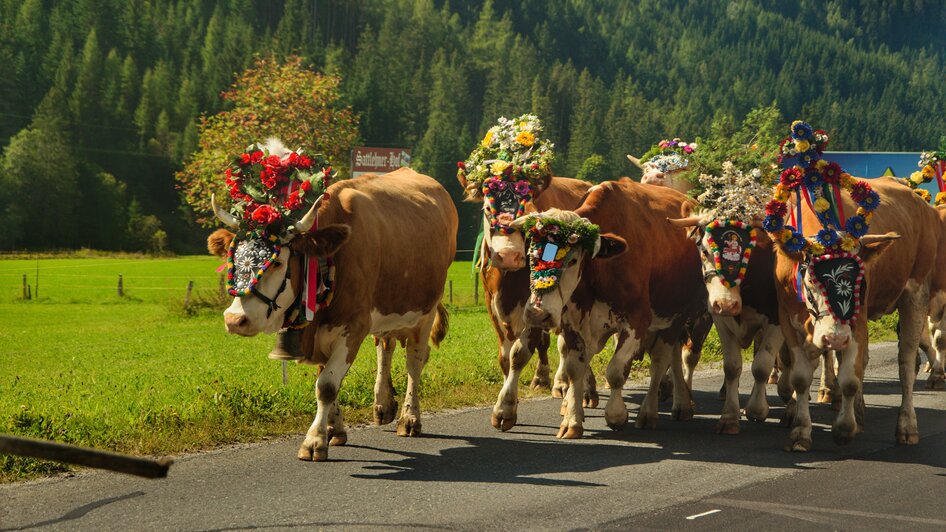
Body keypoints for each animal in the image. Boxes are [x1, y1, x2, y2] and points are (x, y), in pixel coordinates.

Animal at [207, 163, 458, 462]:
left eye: (277, 262)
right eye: (232, 258)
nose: (235, 320)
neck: (332, 260)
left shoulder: (354, 326)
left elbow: (326, 385)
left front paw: (314, 440)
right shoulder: (318, 329)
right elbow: (327, 377)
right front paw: (333, 429)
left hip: (426, 310)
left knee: (415, 361)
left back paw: (409, 419)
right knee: (385, 347)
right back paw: (383, 404)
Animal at [456, 172, 592, 430]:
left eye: (527, 209)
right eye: (487, 208)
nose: (509, 256)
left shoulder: (537, 304)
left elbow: (520, 353)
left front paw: (505, 409)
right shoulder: (492, 305)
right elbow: (505, 358)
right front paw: (511, 397)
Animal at [508, 179, 708, 436]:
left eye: (573, 260)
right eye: (532, 256)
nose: (537, 314)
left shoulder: (637, 320)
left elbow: (615, 371)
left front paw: (616, 415)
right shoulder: (572, 322)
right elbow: (575, 370)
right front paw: (572, 420)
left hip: (677, 316)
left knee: (661, 361)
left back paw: (653, 411)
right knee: (671, 357)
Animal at [772, 177, 940, 450]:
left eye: (858, 282)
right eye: (810, 282)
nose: (835, 337)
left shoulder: (857, 320)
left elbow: (850, 378)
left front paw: (844, 428)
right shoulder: (787, 316)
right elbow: (800, 378)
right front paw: (800, 432)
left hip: (917, 292)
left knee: (906, 363)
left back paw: (906, 426)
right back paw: (859, 412)